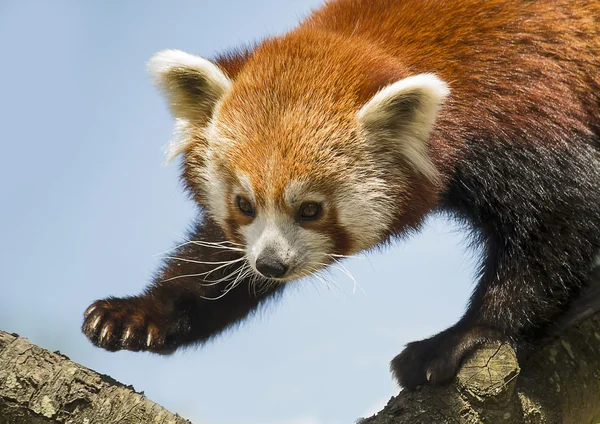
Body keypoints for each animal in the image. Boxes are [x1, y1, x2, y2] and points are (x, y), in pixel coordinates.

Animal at [82, 0, 600, 390]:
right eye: (244, 205)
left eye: (310, 209)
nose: (271, 265)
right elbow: (218, 264)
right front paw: (139, 312)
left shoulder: (522, 109)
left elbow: (563, 215)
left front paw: (463, 337)